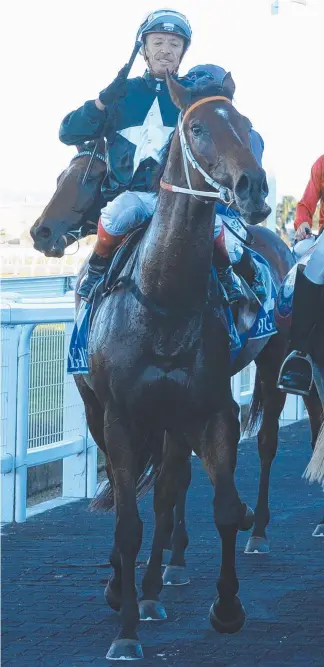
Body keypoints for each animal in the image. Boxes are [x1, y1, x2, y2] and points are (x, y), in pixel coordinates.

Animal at [31, 75, 324, 660]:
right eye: (197, 127)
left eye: (247, 126)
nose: (42, 233)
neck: (163, 298)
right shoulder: (119, 413)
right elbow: (130, 517)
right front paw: (127, 621)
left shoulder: (210, 408)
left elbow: (220, 505)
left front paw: (224, 606)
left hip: (273, 364)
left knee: (257, 448)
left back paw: (251, 534)